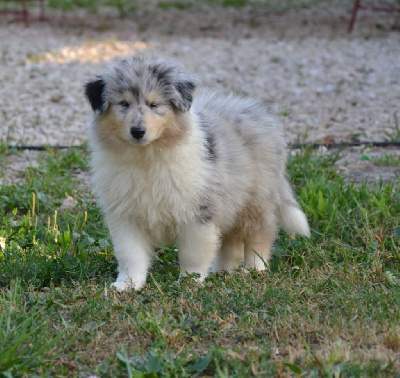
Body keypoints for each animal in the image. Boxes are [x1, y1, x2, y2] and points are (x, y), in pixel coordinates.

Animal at [83, 54, 310, 292]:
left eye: (155, 104)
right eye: (123, 104)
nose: (137, 131)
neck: (147, 157)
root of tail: (258, 113)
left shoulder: (198, 213)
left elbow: (193, 253)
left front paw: (189, 282)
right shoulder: (126, 215)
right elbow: (131, 254)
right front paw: (127, 284)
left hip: (256, 201)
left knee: (260, 234)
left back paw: (255, 269)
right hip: (230, 204)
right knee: (230, 242)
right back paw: (222, 271)